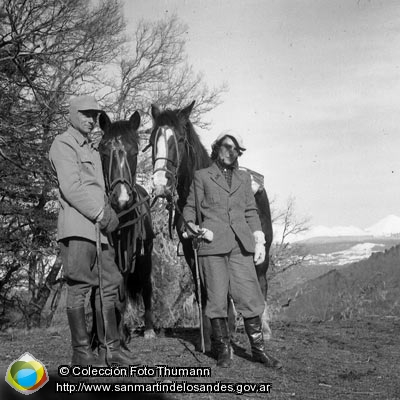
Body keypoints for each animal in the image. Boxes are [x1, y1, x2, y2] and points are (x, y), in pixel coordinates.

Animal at [97, 110, 157, 340]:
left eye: (135, 151)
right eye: (103, 151)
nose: (121, 199)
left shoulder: (128, 251)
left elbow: (123, 285)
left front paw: (122, 332)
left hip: (145, 255)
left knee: (146, 286)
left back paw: (148, 328)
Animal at [148, 101, 274, 352]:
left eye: (178, 139)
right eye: (152, 139)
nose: (159, 184)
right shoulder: (192, 250)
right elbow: (205, 291)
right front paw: (209, 335)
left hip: (260, 255)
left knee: (261, 283)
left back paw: (262, 330)